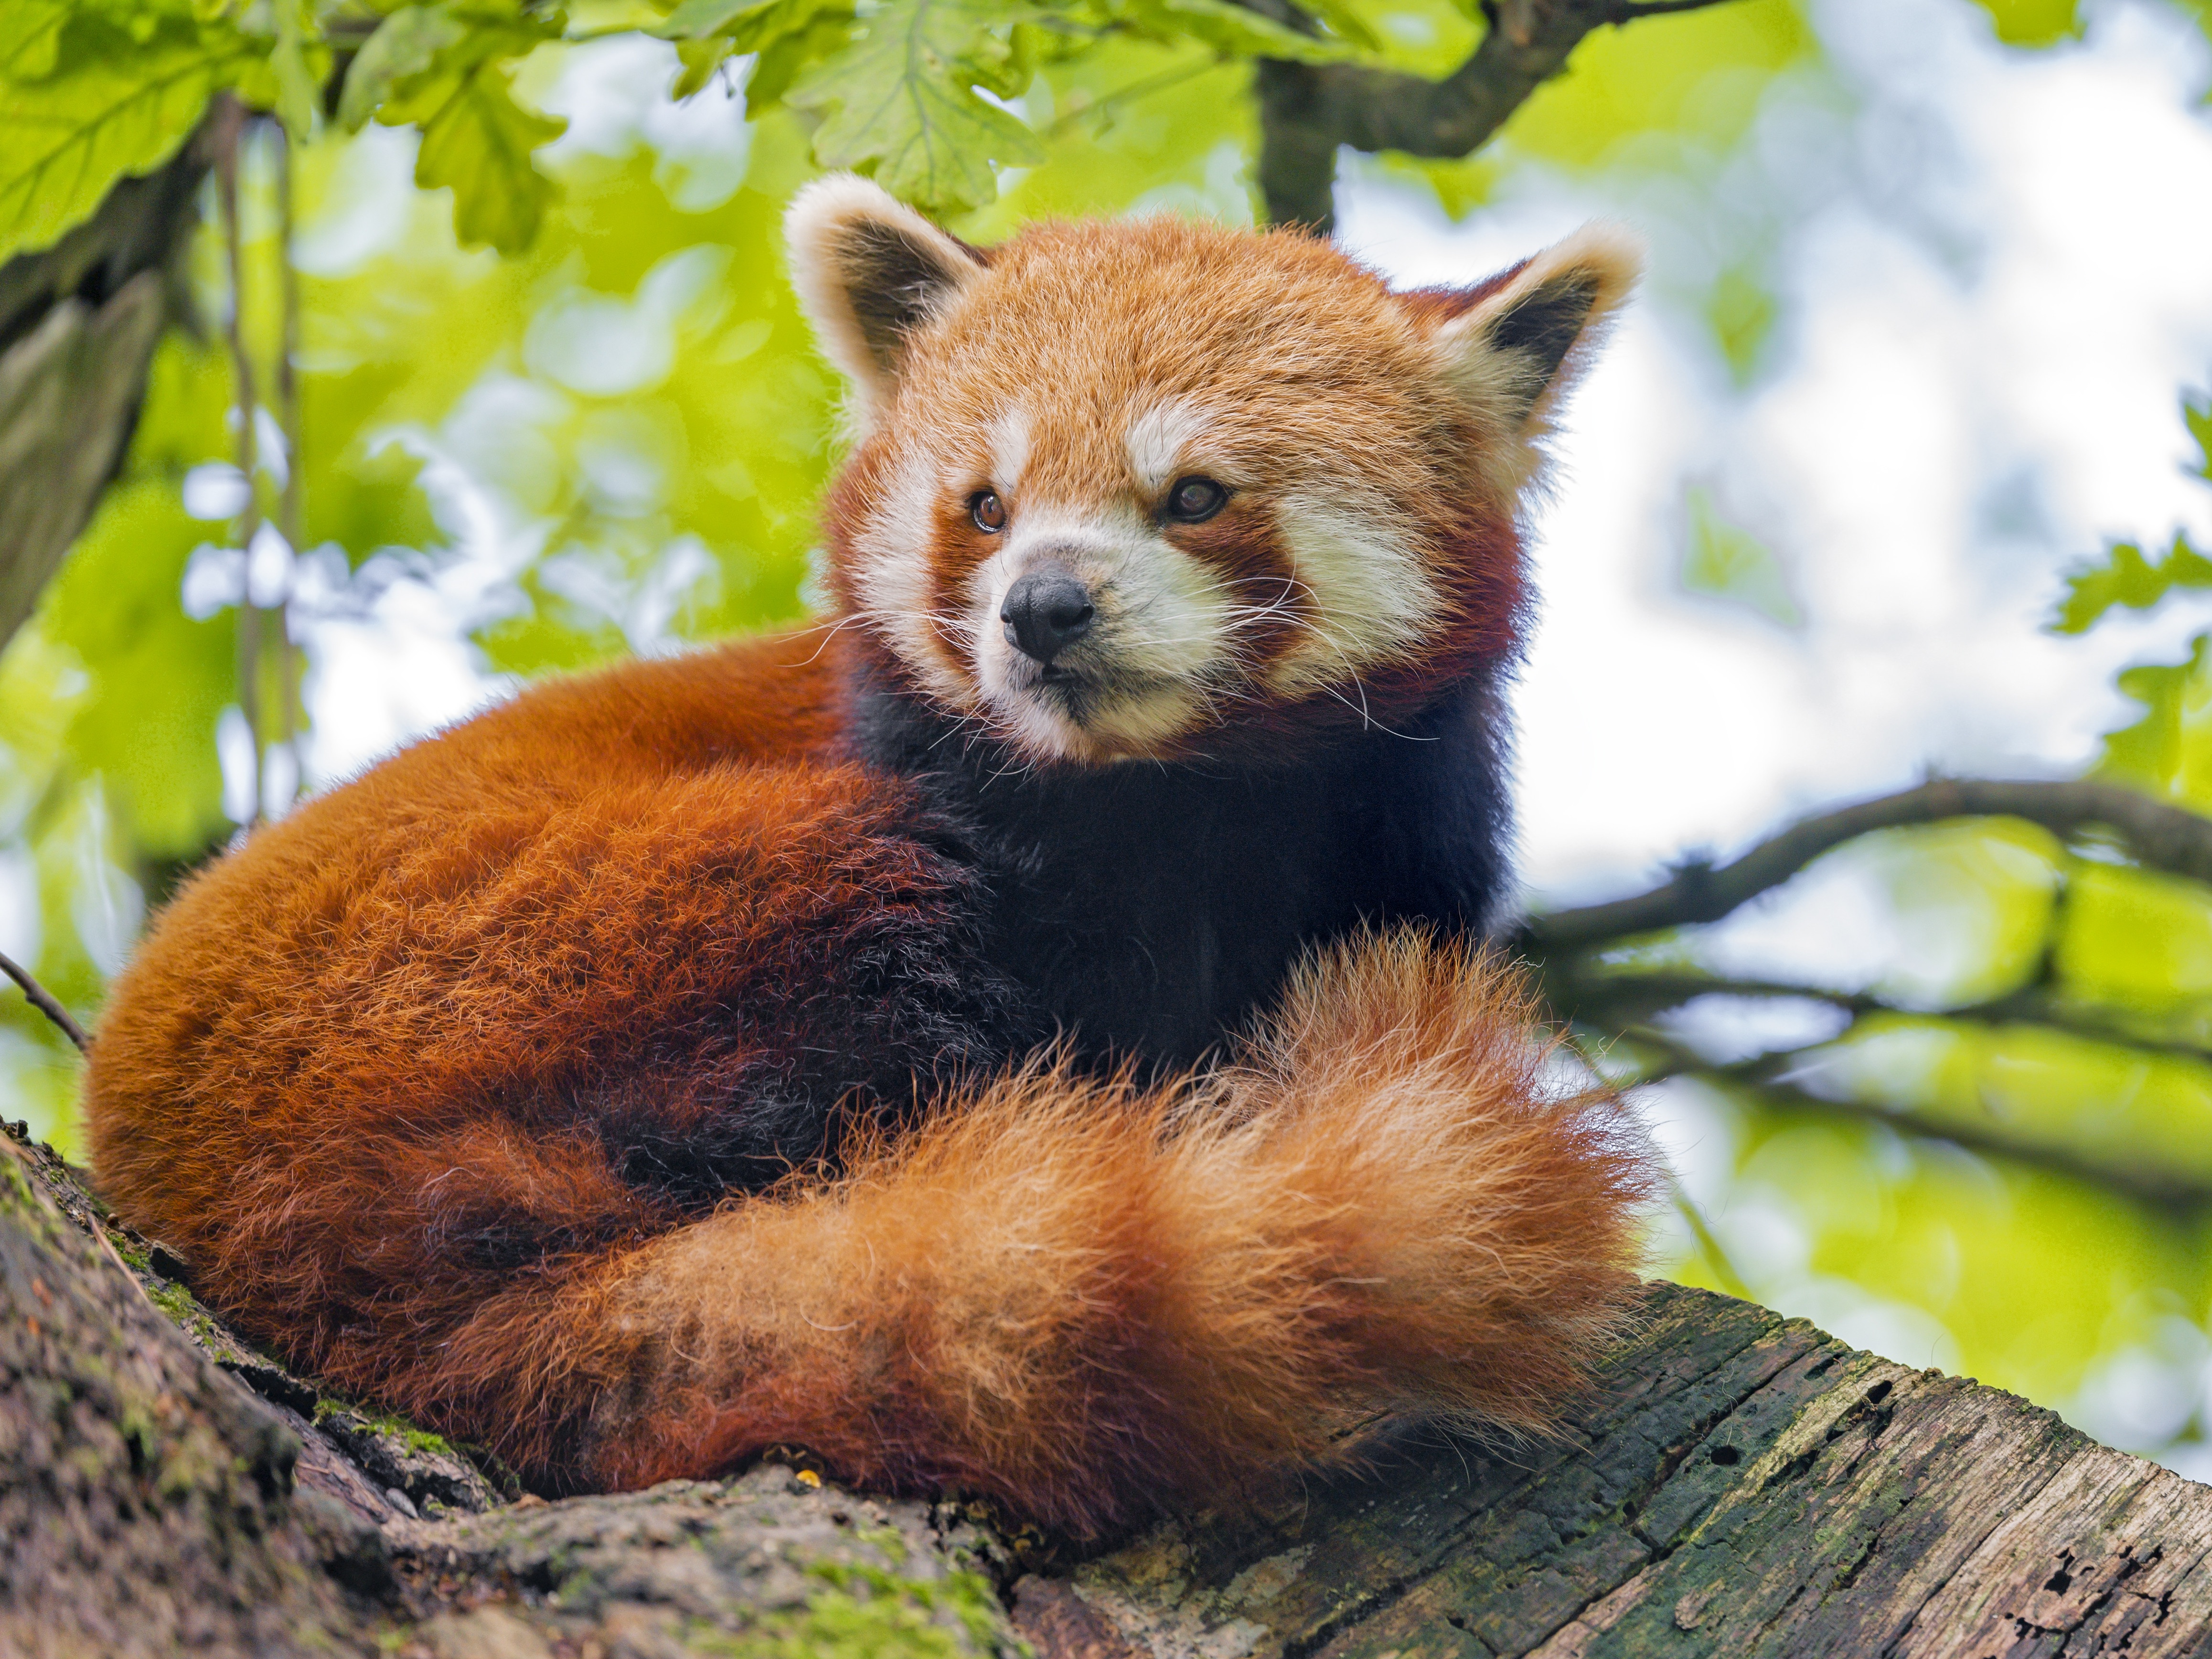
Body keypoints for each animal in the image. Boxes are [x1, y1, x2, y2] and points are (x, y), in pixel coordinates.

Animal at [82, 176, 1646, 1539]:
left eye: (1194, 494)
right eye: (986, 506)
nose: (1043, 607)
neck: (1185, 799)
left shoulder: (1395, 839)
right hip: (546, 946)